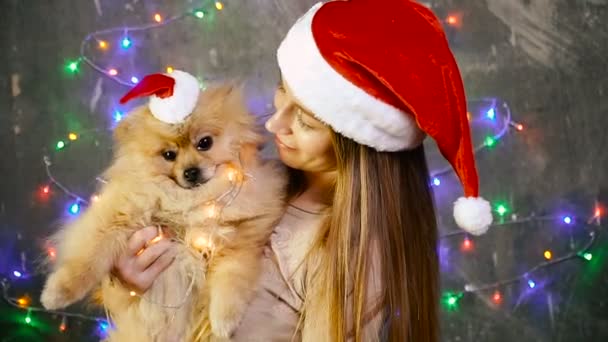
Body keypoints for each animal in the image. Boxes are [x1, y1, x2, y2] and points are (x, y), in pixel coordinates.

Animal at [40, 81, 288, 340]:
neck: (190, 202)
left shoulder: (240, 237)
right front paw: (56, 293)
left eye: (205, 143)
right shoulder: (119, 214)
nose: (191, 172)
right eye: (169, 155)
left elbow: (231, 281)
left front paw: (224, 322)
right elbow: (88, 257)